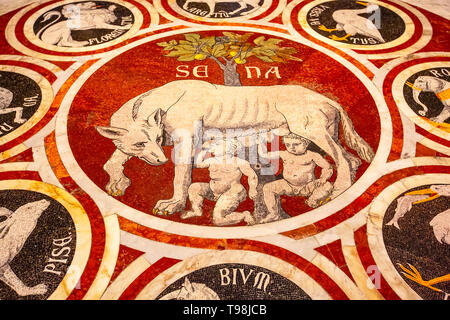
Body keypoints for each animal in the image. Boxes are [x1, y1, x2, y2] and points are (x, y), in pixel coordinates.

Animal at [96, 79, 374, 216]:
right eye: (141, 142)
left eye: (154, 138)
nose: (160, 161)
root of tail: (327, 99)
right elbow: (111, 161)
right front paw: (117, 183)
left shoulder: (185, 140)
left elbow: (181, 177)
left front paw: (173, 204)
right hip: (322, 134)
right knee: (351, 159)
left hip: (311, 131)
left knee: (343, 160)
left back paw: (335, 192)